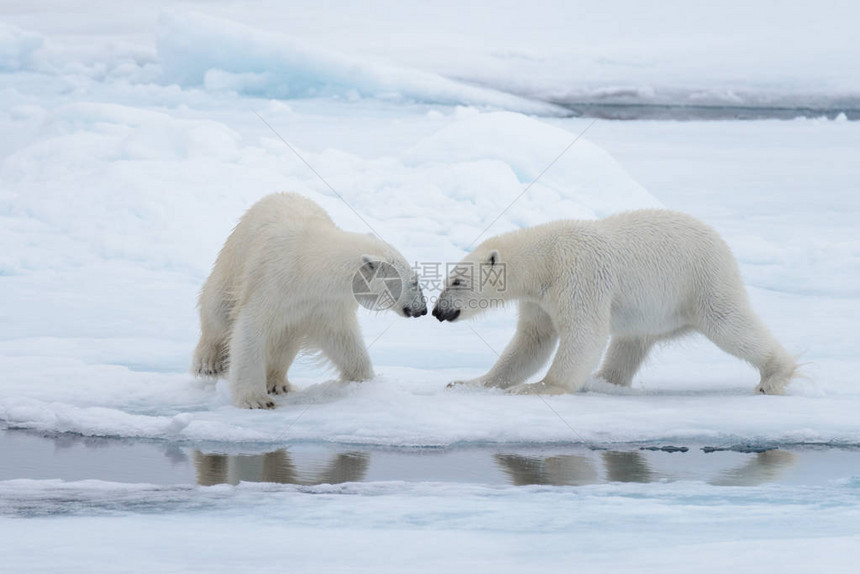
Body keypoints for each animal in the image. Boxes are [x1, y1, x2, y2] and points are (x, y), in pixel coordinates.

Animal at [191, 194, 426, 410]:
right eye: (414, 282)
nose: (422, 309)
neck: (310, 266)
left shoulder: (323, 303)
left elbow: (341, 337)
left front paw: (365, 380)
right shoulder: (273, 282)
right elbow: (251, 328)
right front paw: (255, 400)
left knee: (285, 340)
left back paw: (278, 383)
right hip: (234, 259)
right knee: (217, 309)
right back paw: (209, 363)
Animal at [436, 210, 800, 396]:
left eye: (456, 282)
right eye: (445, 279)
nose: (439, 311)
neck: (545, 259)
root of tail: (722, 244)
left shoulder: (578, 275)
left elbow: (583, 332)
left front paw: (539, 388)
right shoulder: (540, 299)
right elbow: (532, 340)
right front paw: (468, 382)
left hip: (700, 282)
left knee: (729, 324)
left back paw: (775, 376)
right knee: (630, 342)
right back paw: (603, 380)